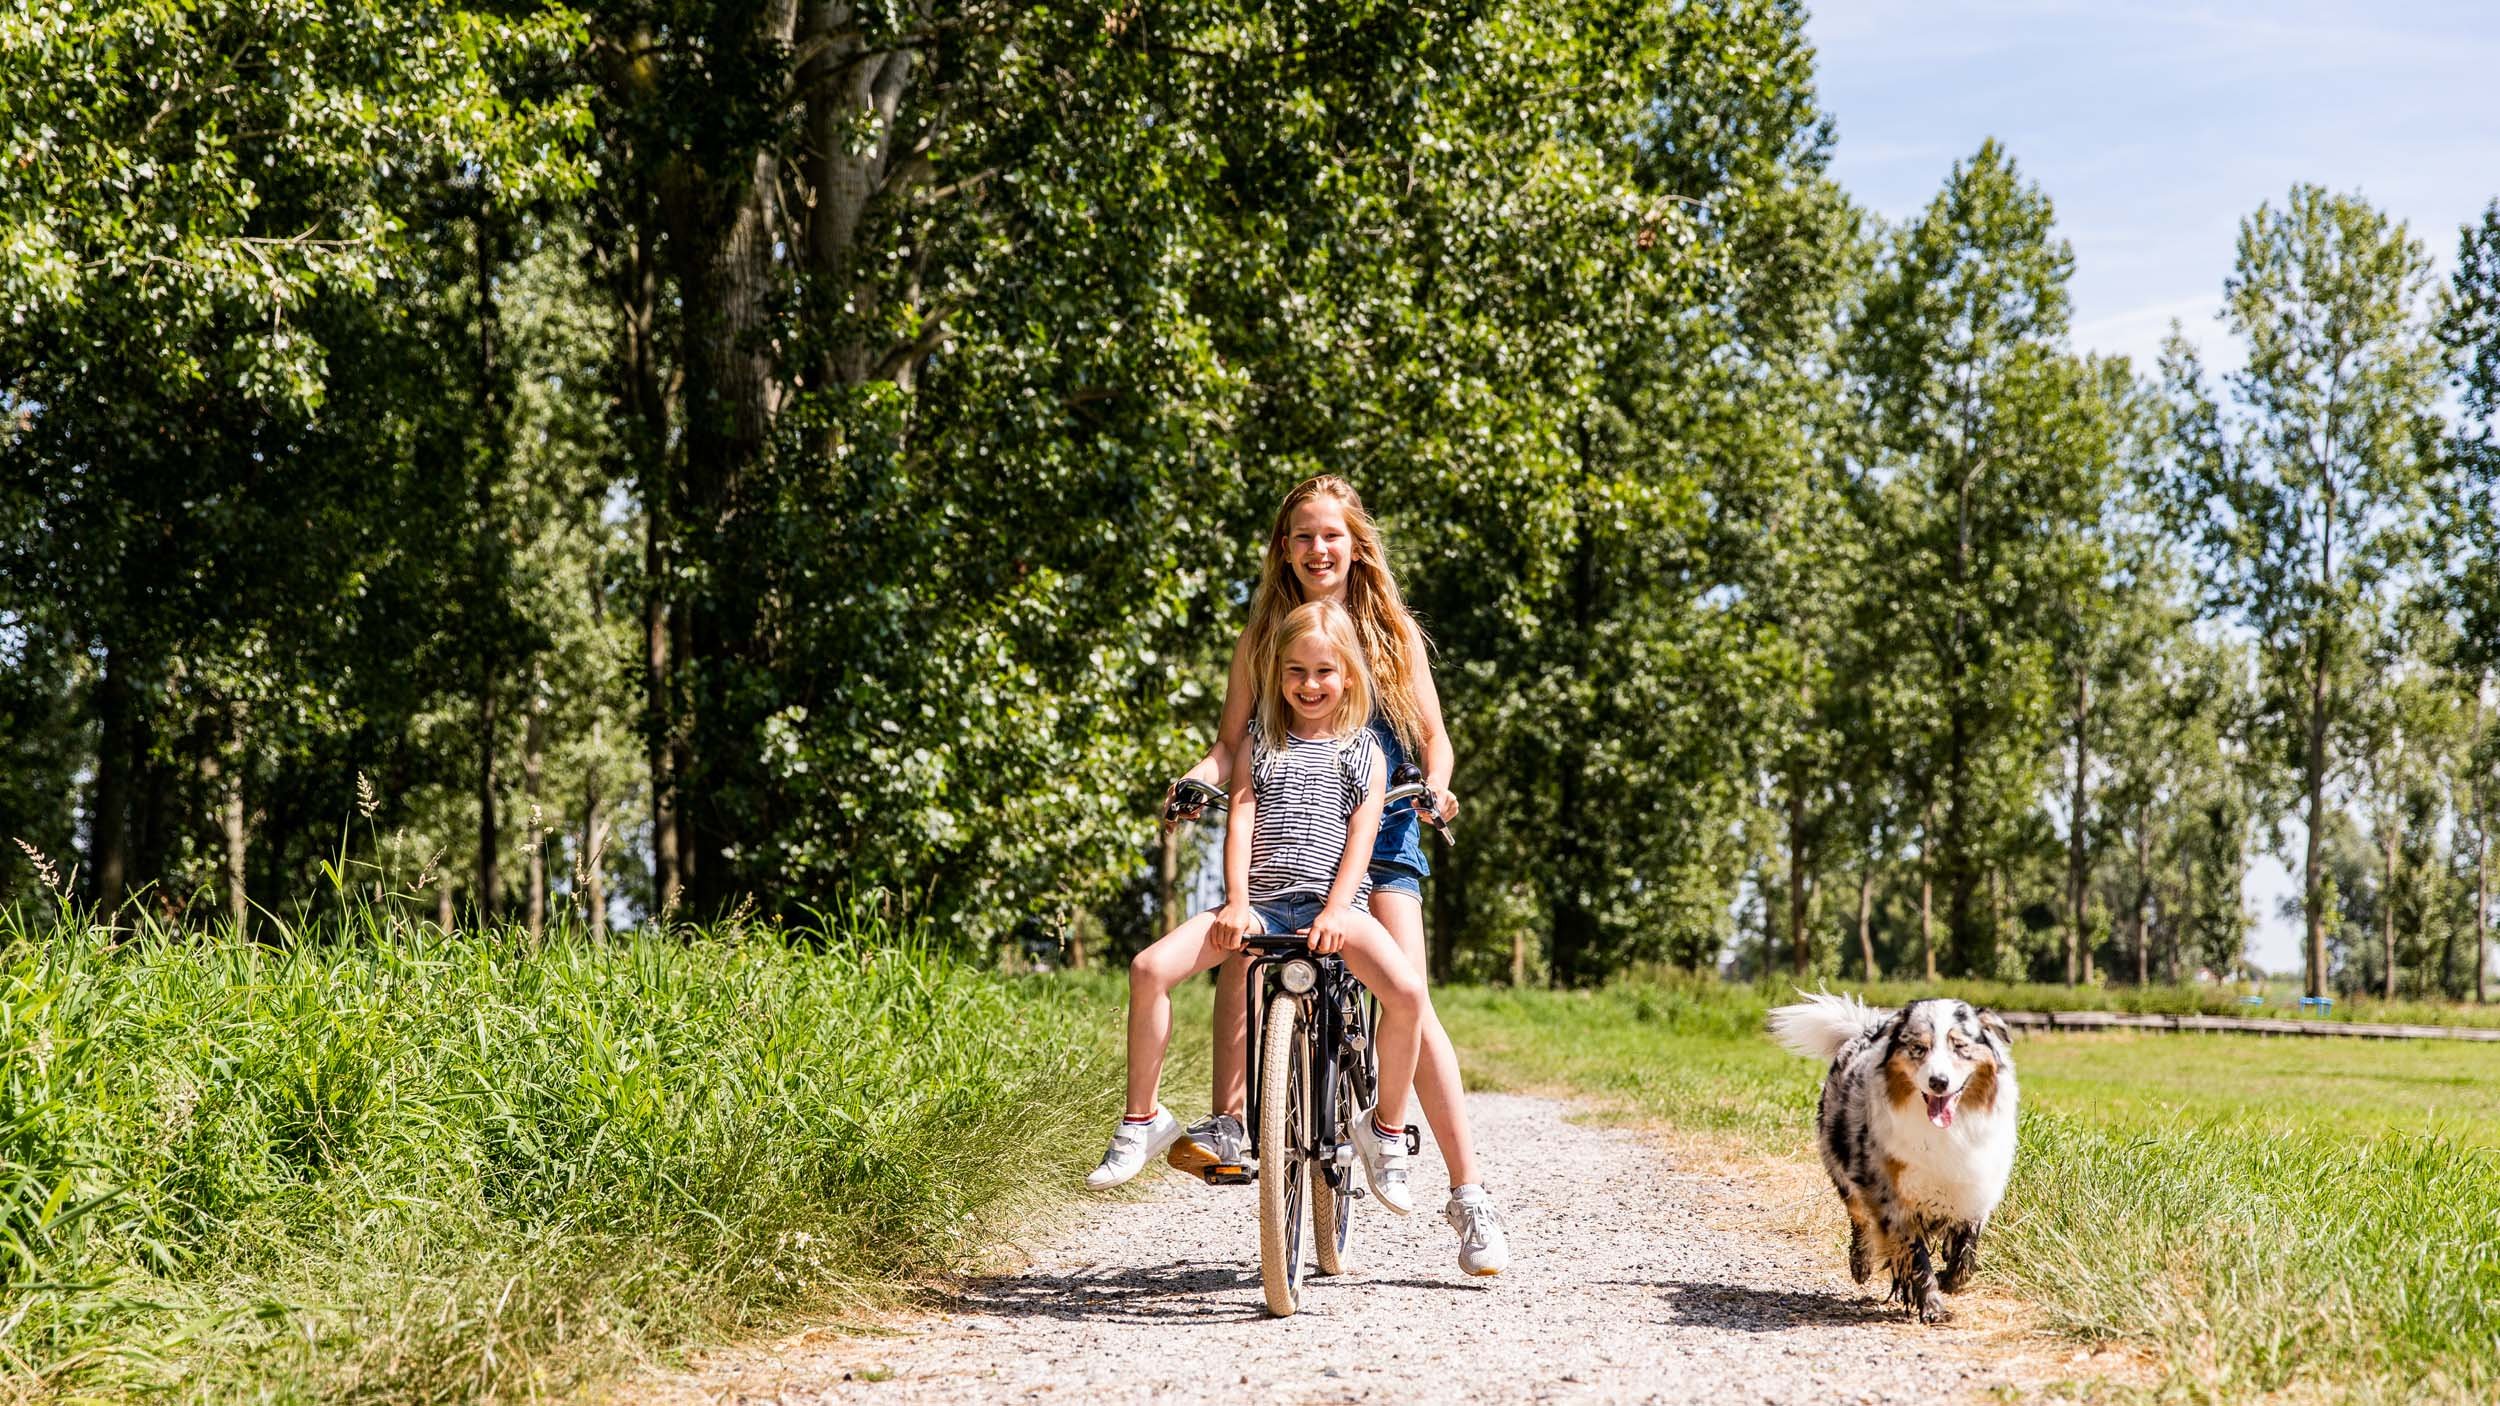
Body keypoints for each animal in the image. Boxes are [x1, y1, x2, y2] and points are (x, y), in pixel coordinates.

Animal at [1770, 990, 2020, 1320]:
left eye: (1960, 1046)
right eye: (1918, 1048)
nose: (1938, 1082)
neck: (1943, 1131)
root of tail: (1861, 1033)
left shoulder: (1976, 1186)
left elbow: (1965, 1252)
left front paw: (1949, 1278)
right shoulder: (1891, 1196)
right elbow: (1914, 1256)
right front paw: (1931, 1304)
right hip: (1843, 1167)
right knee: (1859, 1218)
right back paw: (1861, 1264)